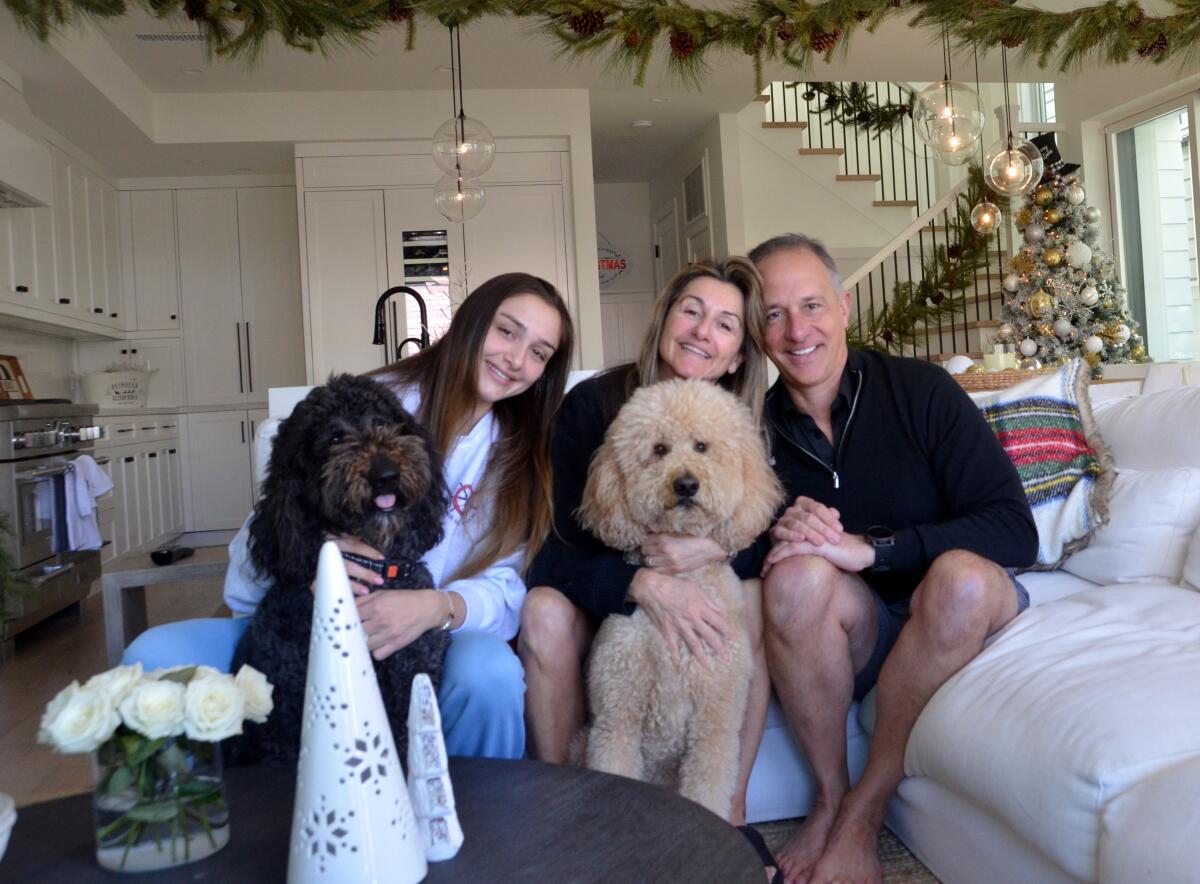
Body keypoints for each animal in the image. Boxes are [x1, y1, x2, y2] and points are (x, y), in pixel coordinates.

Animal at [576, 376, 782, 815]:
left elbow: (708, 789)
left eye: (702, 446)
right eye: (658, 449)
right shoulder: (616, 720)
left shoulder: (714, 728)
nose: (686, 484)